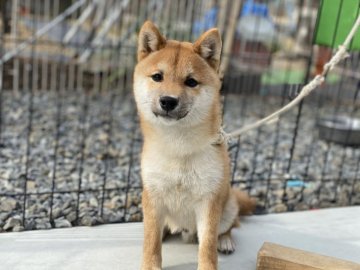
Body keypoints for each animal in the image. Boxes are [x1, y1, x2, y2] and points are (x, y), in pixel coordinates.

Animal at [134, 21, 255, 270]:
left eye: (191, 82)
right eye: (157, 76)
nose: (168, 101)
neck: (178, 148)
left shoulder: (209, 201)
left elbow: (207, 244)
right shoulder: (153, 195)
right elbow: (151, 240)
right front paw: (150, 264)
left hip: (228, 205)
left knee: (230, 226)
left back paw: (225, 241)